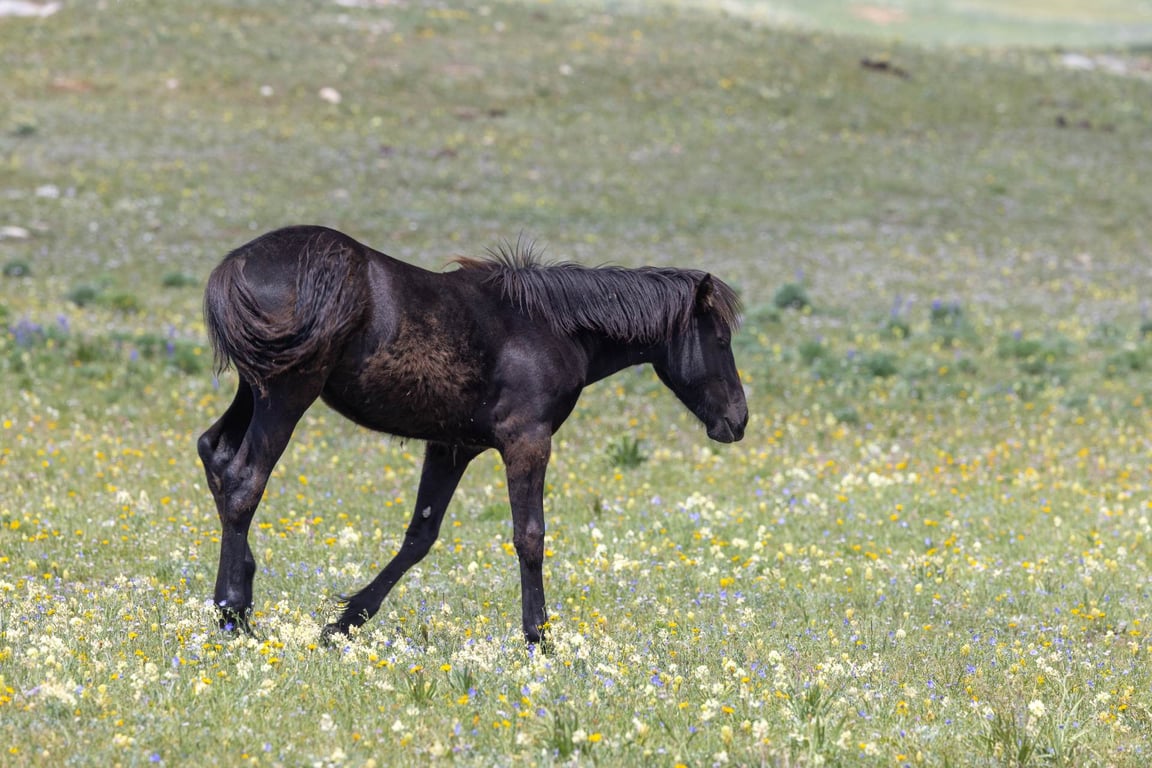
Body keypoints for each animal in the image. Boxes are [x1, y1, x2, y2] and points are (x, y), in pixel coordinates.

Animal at [198, 225, 748, 646]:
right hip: (286, 395)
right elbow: (530, 537)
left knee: (215, 456)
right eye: (721, 340)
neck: (551, 326)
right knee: (245, 480)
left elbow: (419, 538)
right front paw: (538, 637)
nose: (738, 420)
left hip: (254, 391)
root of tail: (236, 266)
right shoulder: (527, 442)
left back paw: (242, 592)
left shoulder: (451, 448)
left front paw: (343, 623)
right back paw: (232, 612)